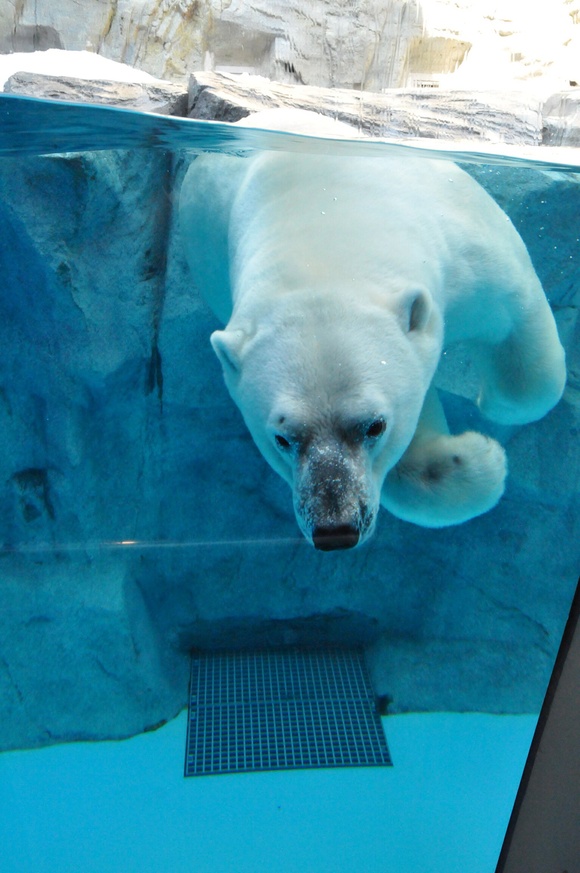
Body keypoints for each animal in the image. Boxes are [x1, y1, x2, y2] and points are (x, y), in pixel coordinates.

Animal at [179, 107, 564, 544]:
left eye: (375, 426)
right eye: (281, 437)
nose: (335, 531)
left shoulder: (465, 251)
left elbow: (516, 316)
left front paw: (492, 407)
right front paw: (472, 459)